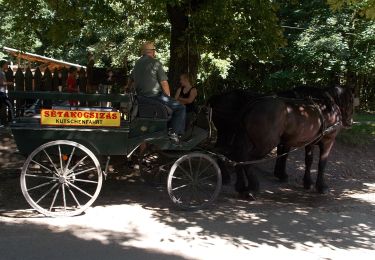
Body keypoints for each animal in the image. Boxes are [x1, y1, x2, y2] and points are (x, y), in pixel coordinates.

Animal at [210, 86, 354, 198]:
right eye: (351, 102)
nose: (349, 122)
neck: (325, 107)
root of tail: (253, 105)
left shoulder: (309, 142)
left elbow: (307, 161)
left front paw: (306, 182)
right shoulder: (327, 141)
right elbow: (321, 163)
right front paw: (321, 186)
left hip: (240, 137)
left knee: (236, 155)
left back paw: (240, 185)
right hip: (264, 142)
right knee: (246, 158)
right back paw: (251, 187)